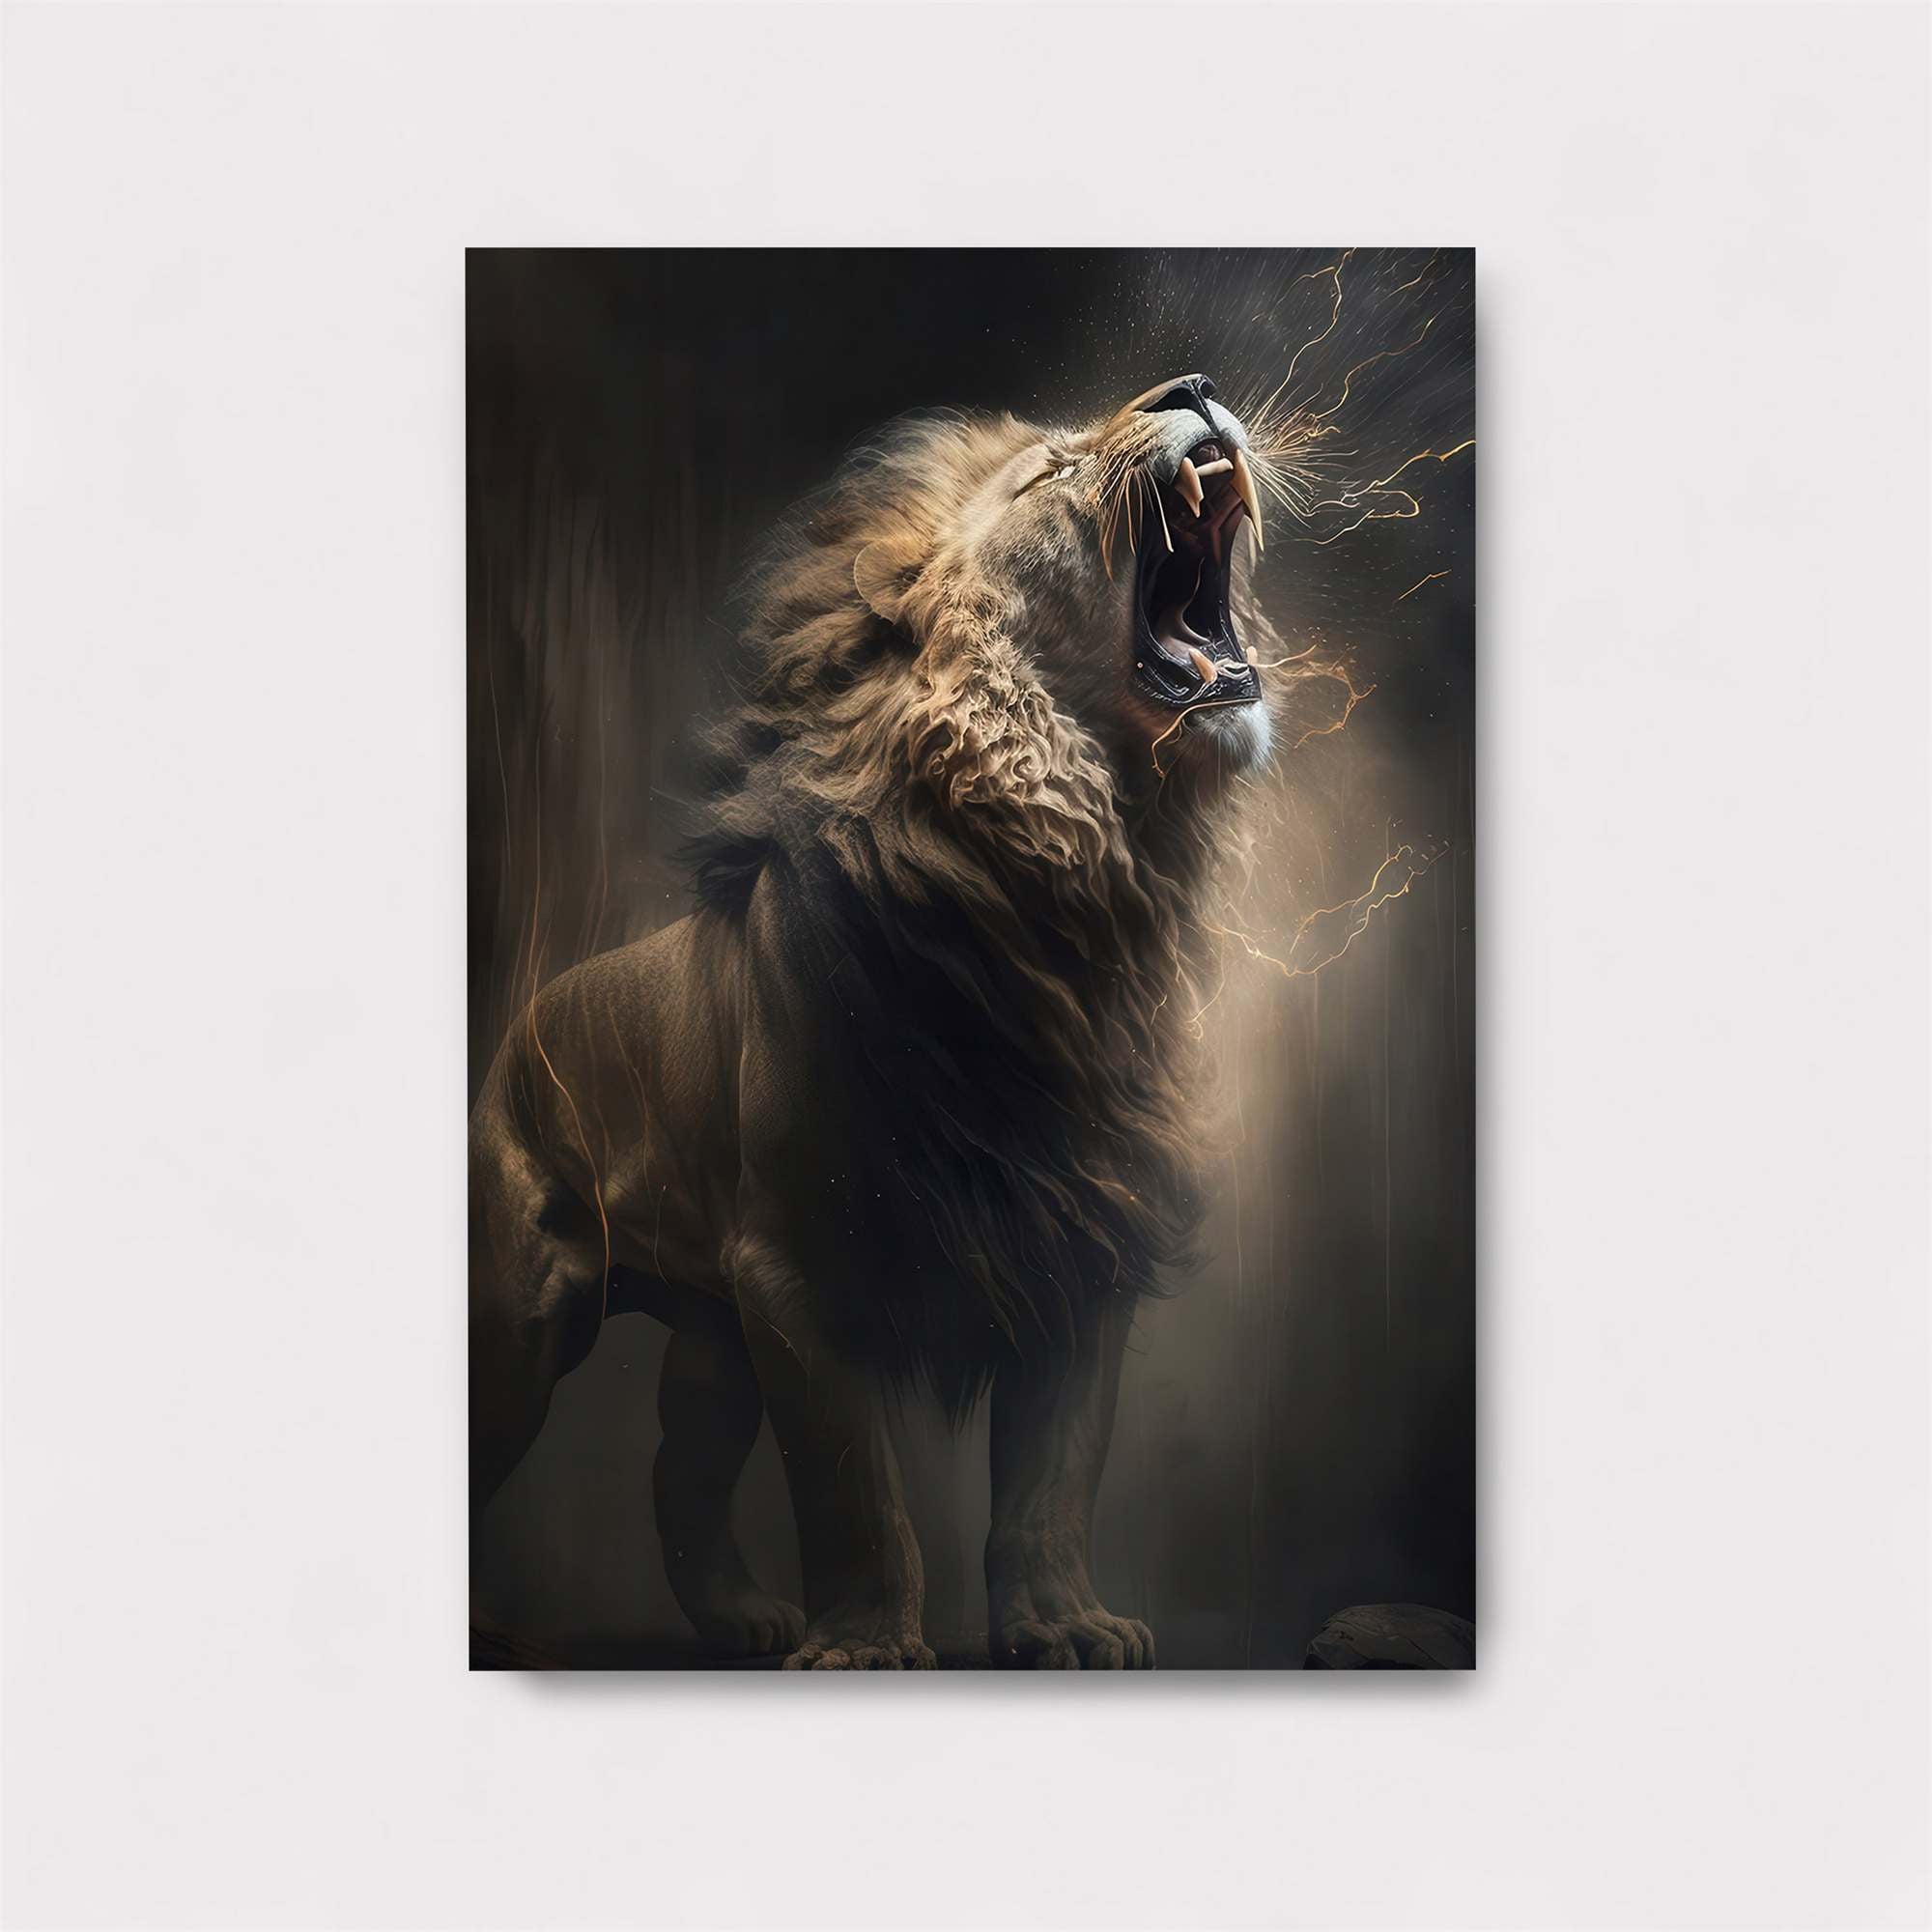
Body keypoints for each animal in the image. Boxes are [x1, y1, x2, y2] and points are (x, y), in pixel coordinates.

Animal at [471, 373, 1287, 1668]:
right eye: (1052, 469)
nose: (1195, 386)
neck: (1063, 882)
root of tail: (520, 1018)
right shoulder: (795, 1267)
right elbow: (851, 1482)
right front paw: (863, 1642)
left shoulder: (1078, 1233)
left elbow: (1052, 1475)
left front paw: (1063, 1623)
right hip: (517, 1322)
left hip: (711, 1337)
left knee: (677, 1471)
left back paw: (741, 1619)